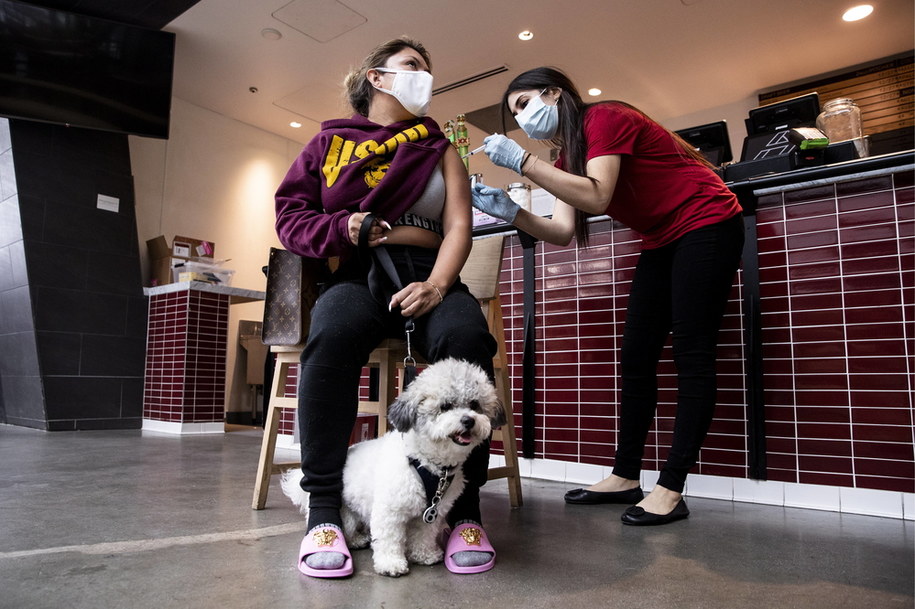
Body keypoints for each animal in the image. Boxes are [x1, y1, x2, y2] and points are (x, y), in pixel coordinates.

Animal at [282, 358, 504, 576]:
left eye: (474, 404)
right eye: (445, 406)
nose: (468, 420)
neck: (426, 462)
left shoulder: (432, 513)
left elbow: (424, 535)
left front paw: (424, 554)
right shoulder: (390, 511)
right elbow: (389, 539)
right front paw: (391, 563)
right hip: (346, 514)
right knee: (347, 529)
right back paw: (353, 540)